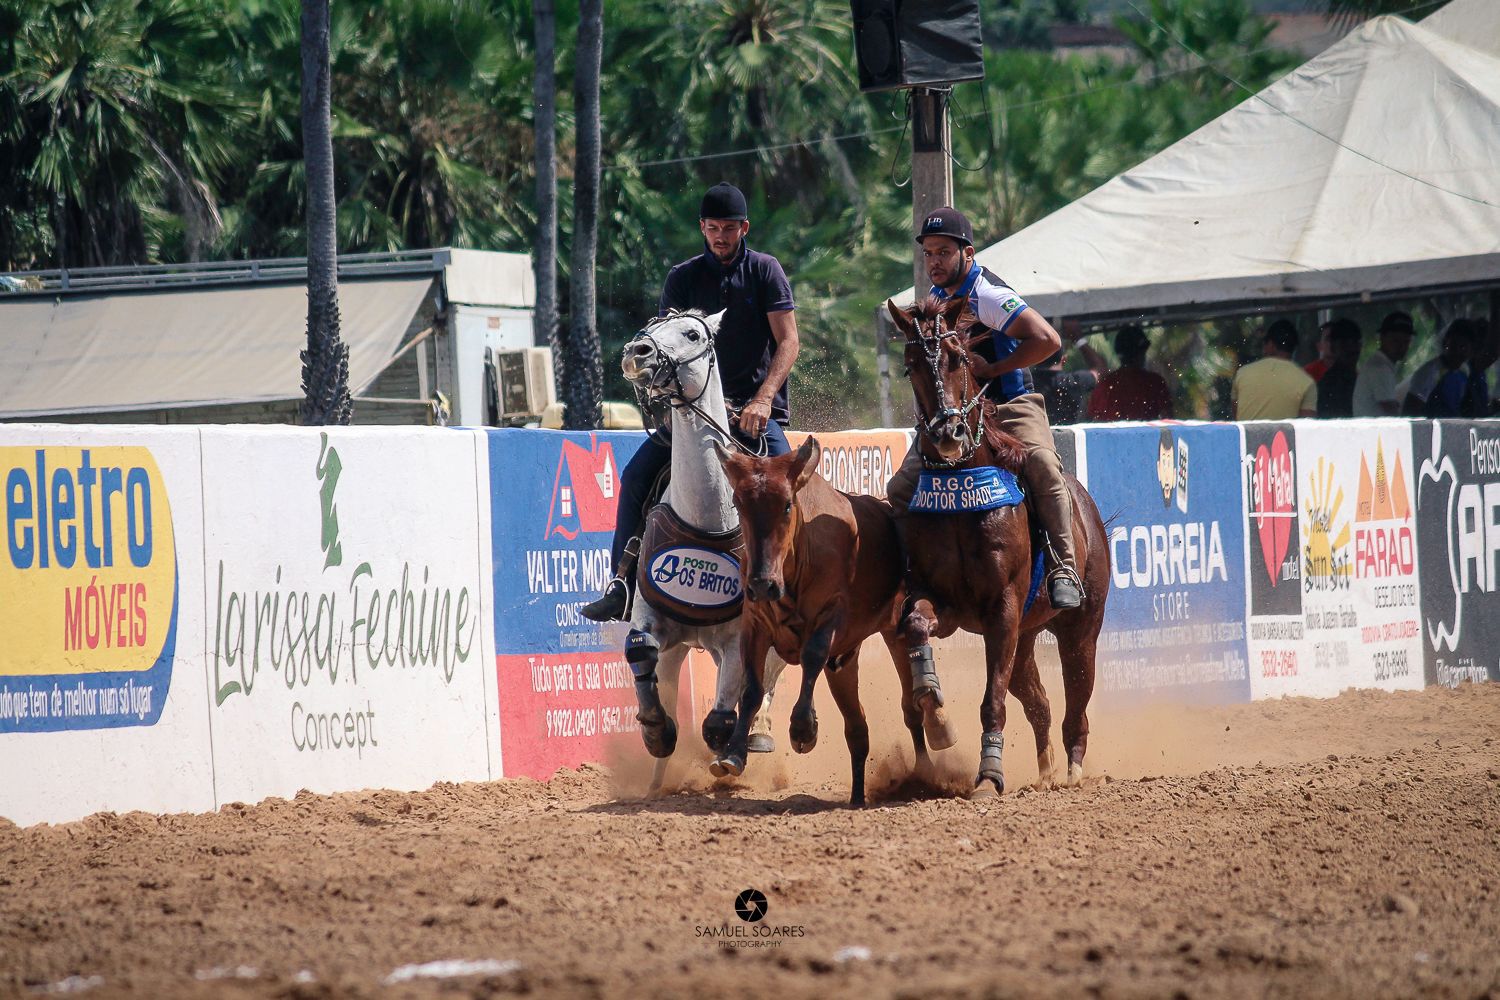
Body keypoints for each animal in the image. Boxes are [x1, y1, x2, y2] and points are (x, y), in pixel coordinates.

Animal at [621, 308, 786, 785]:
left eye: (693, 333)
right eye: (650, 328)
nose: (636, 353)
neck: (708, 512)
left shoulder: (736, 640)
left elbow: (722, 716)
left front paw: (730, 753)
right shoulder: (653, 619)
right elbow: (640, 651)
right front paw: (657, 732)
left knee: (764, 686)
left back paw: (756, 736)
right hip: (679, 647)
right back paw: (658, 780)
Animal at [705, 437, 924, 803]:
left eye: (786, 505)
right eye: (738, 503)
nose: (762, 584)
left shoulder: (830, 616)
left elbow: (811, 657)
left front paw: (803, 727)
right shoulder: (755, 625)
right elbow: (752, 688)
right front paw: (733, 753)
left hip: (896, 631)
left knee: (912, 707)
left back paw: (926, 772)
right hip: (846, 662)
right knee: (857, 727)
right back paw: (857, 797)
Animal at [882, 295, 1110, 797]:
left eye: (959, 359)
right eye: (910, 366)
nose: (948, 435)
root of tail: (1088, 512)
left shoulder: (1003, 609)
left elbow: (993, 700)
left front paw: (989, 776)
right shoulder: (941, 600)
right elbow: (916, 627)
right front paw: (938, 716)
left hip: (1081, 630)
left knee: (1076, 707)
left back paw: (1072, 772)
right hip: (1025, 639)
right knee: (1040, 703)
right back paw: (1044, 771)